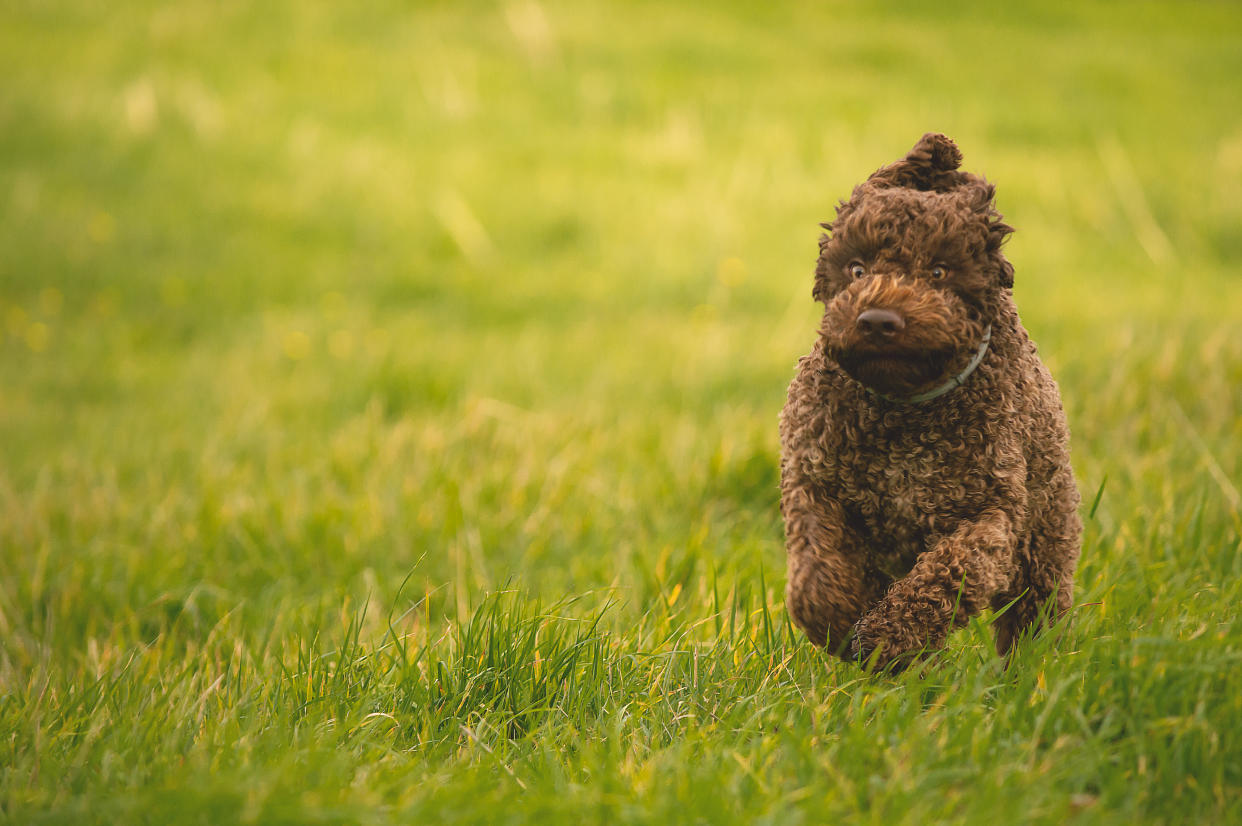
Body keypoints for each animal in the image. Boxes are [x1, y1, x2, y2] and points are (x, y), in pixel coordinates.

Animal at [779, 132, 1083, 665]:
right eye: (856, 269)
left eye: (939, 271)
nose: (878, 320)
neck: (904, 410)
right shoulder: (814, 484)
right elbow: (816, 573)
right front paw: (840, 622)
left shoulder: (990, 515)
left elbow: (947, 572)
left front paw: (890, 635)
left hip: (1043, 543)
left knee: (1032, 617)